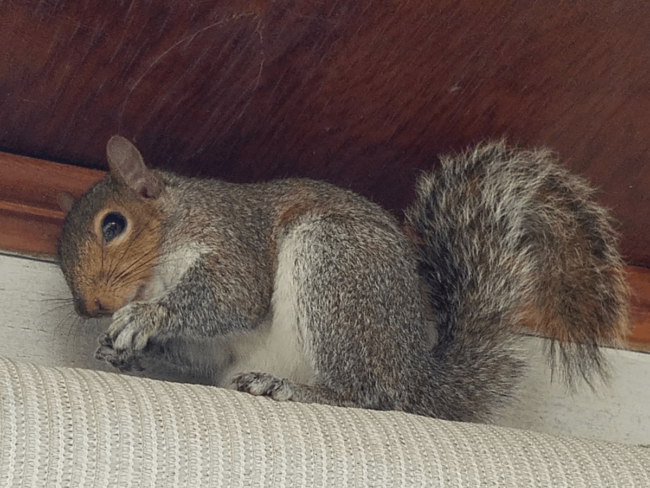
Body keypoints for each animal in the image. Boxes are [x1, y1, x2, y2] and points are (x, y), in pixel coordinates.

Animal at [57, 135, 630, 423]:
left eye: (114, 225)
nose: (90, 307)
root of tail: (415, 381)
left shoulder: (230, 237)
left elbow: (234, 296)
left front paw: (149, 316)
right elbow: (200, 351)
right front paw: (121, 350)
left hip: (333, 265)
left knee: (369, 397)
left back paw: (295, 390)